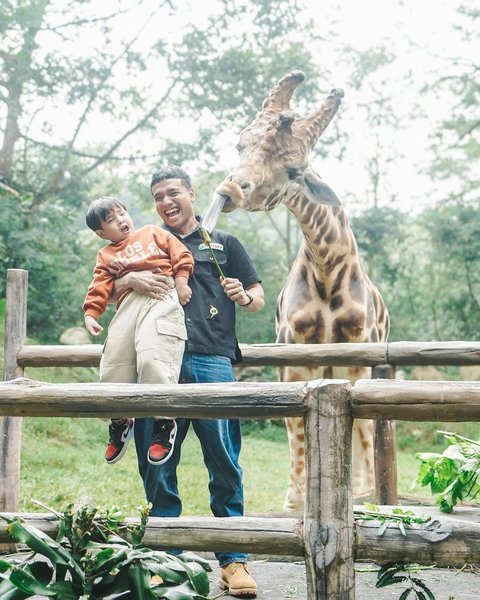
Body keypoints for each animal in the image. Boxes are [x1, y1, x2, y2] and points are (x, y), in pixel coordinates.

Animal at [216, 69, 392, 510]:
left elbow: (360, 422)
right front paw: (295, 499)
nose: (232, 190)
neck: (327, 273)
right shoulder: (294, 353)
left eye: (294, 170)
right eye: (241, 144)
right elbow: (295, 420)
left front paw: (360, 492)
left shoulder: (356, 355)